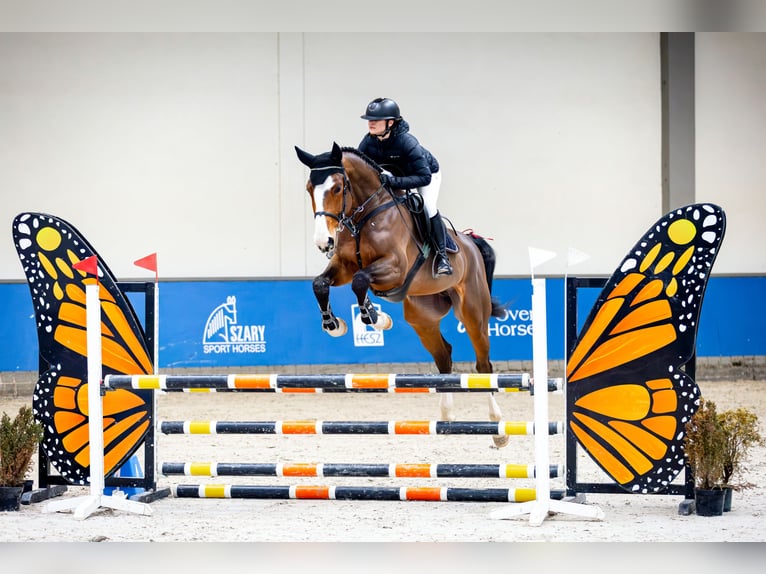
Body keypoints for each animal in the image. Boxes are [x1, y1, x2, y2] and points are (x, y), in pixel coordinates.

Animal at [295, 142, 509, 447]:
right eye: (309, 188)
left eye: (337, 188)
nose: (324, 242)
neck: (364, 215)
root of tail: (471, 242)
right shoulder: (344, 266)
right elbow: (320, 284)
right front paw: (335, 324)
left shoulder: (394, 268)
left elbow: (360, 282)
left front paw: (374, 317)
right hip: (422, 317)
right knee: (444, 357)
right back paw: (446, 416)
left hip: (473, 313)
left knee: (483, 365)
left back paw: (498, 429)